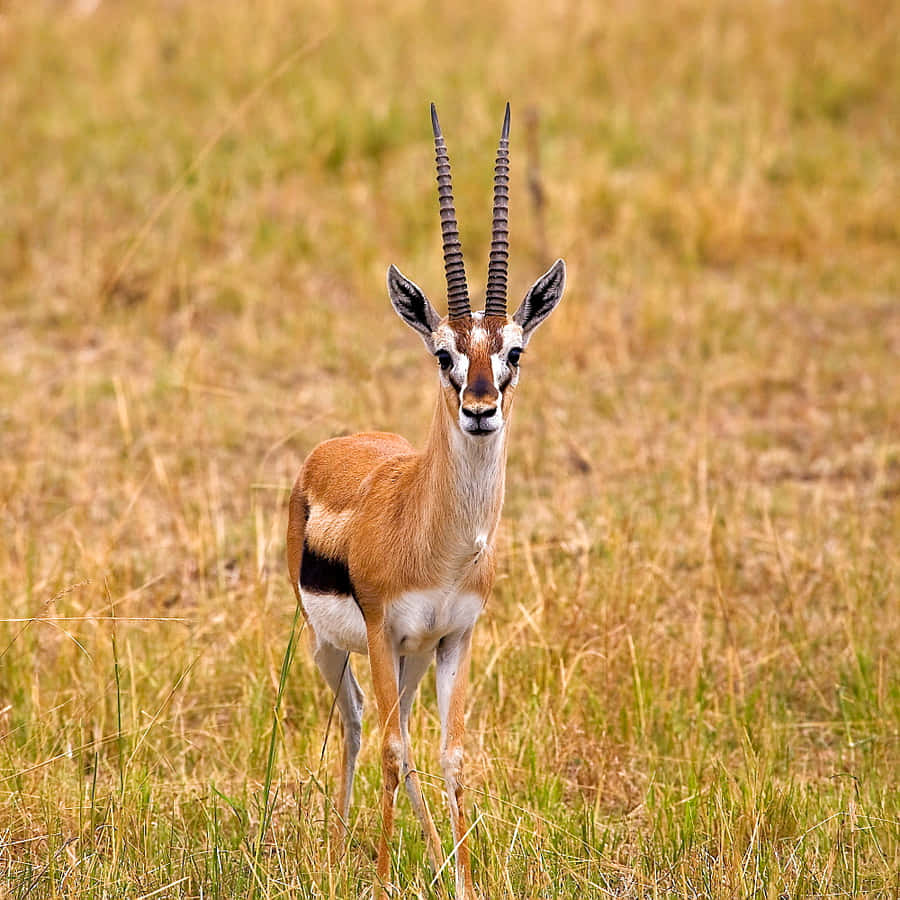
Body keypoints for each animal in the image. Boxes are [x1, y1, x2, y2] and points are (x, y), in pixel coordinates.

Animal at [286, 103, 566, 899]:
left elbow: (450, 756)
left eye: (513, 352)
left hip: (409, 661)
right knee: (360, 726)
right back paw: (337, 855)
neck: (436, 545)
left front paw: (463, 881)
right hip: (333, 645)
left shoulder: (455, 638)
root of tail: (334, 448)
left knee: (401, 734)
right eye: (445, 353)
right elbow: (390, 751)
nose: (479, 409)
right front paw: (382, 882)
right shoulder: (384, 633)